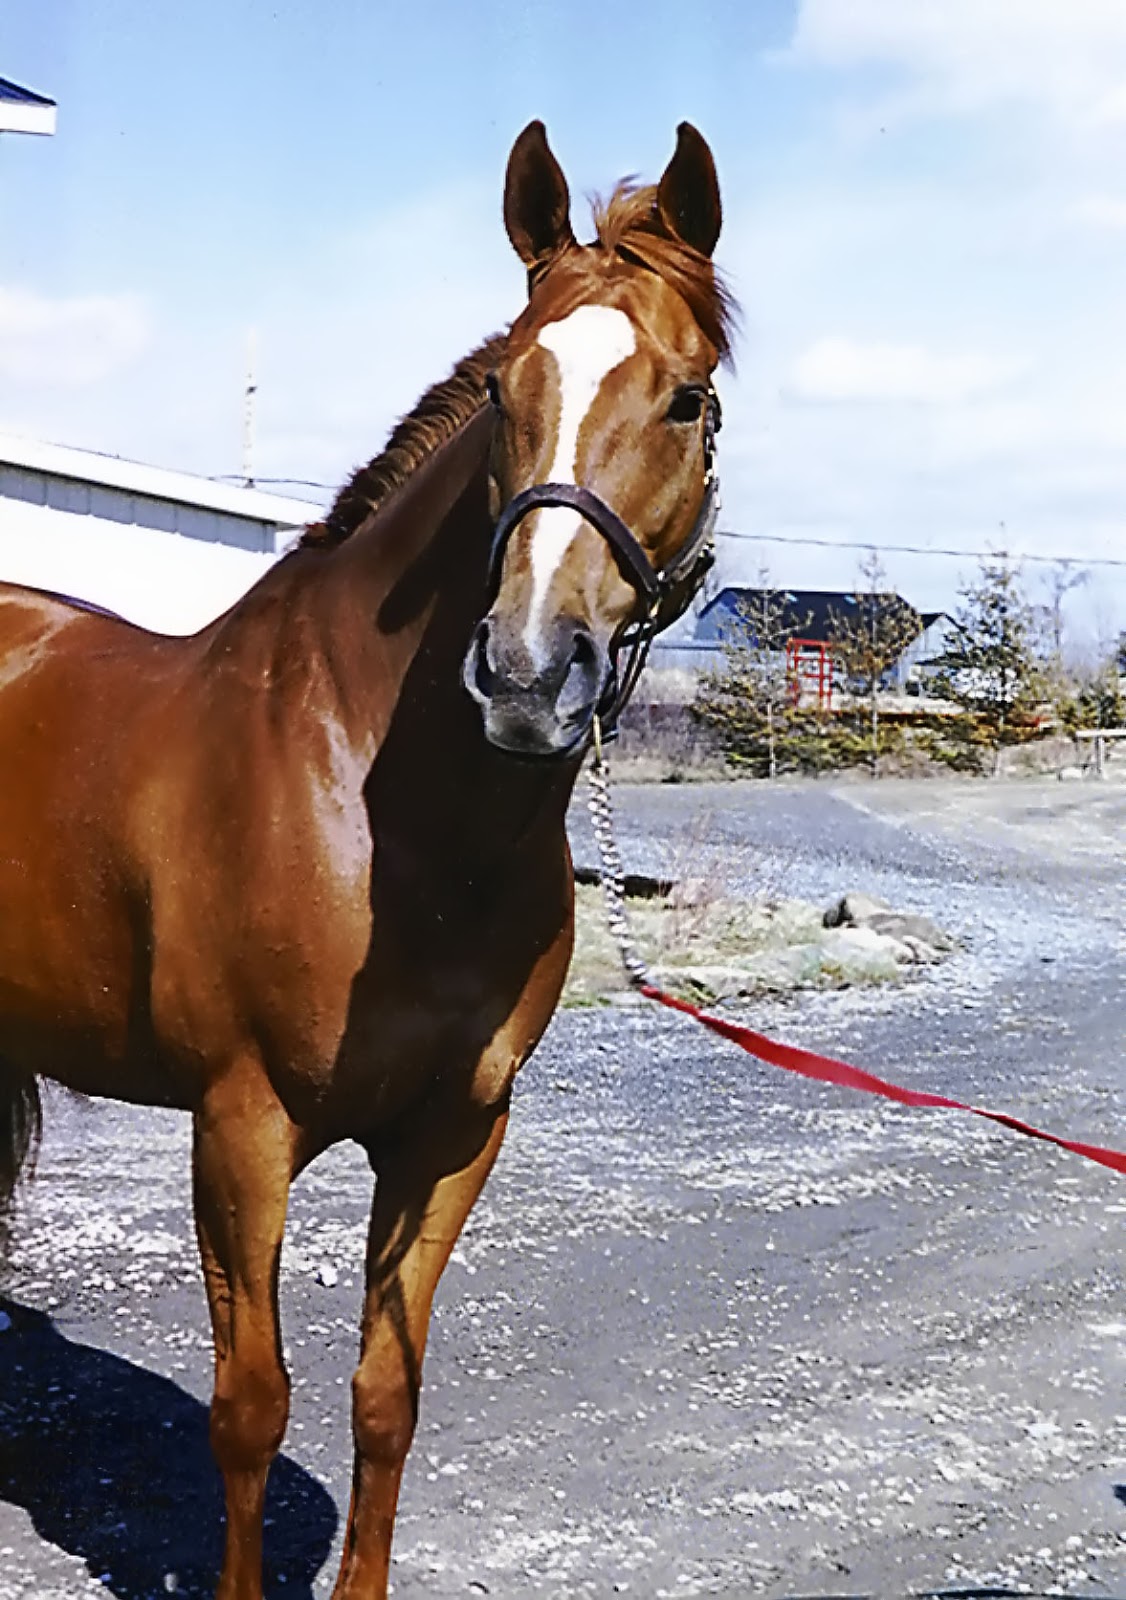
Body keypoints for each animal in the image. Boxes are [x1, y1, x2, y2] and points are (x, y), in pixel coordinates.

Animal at [0, 120, 735, 1598]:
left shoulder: (455, 1129)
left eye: (687, 399)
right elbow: (249, 1407)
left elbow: (383, 1394)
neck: (390, 823)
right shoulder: (240, 1124)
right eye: (505, 390)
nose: (526, 674)